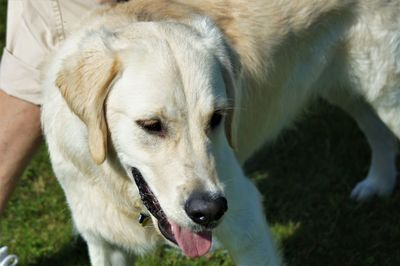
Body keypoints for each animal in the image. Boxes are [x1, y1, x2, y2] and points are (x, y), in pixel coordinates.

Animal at [41, 1, 400, 264]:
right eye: (152, 125)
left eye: (216, 118)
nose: (209, 212)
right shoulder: (104, 241)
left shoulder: (247, 222)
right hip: (348, 88)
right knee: (377, 132)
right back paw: (378, 183)